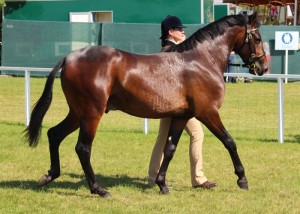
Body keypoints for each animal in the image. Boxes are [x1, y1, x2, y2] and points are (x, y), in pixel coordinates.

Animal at [24, 12, 268, 197]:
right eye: (256, 38)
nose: (263, 67)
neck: (201, 61)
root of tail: (70, 57)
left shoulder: (181, 117)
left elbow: (169, 149)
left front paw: (162, 184)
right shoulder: (207, 113)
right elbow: (230, 142)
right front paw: (242, 179)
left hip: (78, 113)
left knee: (54, 134)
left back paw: (49, 176)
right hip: (91, 114)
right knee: (82, 148)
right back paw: (98, 189)